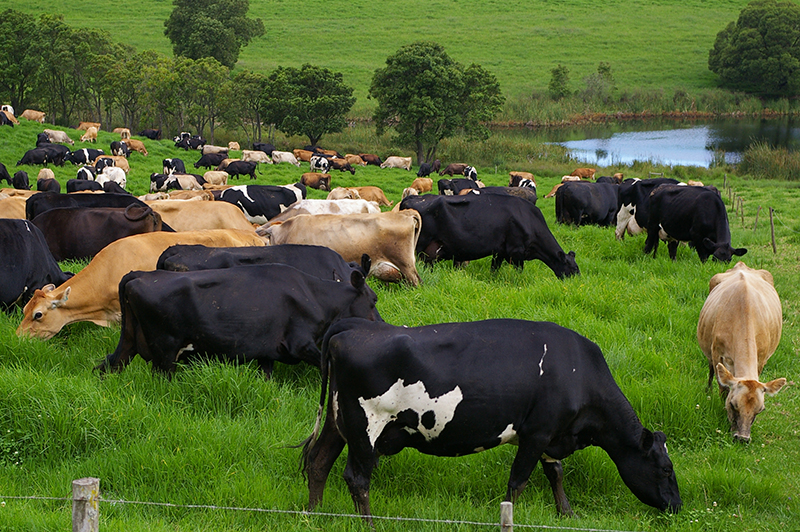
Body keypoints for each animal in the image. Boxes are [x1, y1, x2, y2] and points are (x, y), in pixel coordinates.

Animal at [94, 258, 382, 376]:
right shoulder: (300, 344)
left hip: (129, 341)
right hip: (165, 351)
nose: (382, 326)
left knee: (108, 366)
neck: (316, 296)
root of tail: (139, 274)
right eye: (374, 299)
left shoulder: (268, 352)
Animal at [400, 195, 580, 278]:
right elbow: (519, 271)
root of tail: (412, 198)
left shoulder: (500, 251)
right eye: (573, 269)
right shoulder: (517, 251)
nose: (577, 282)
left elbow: (494, 268)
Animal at [692, 260, 788, 440]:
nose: (742, 438)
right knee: (710, 369)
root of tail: (741, 265)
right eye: (733, 404)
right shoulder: (717, 354)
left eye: (761, 409)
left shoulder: (761, 359)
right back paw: (707, 389)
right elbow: (723, 387)